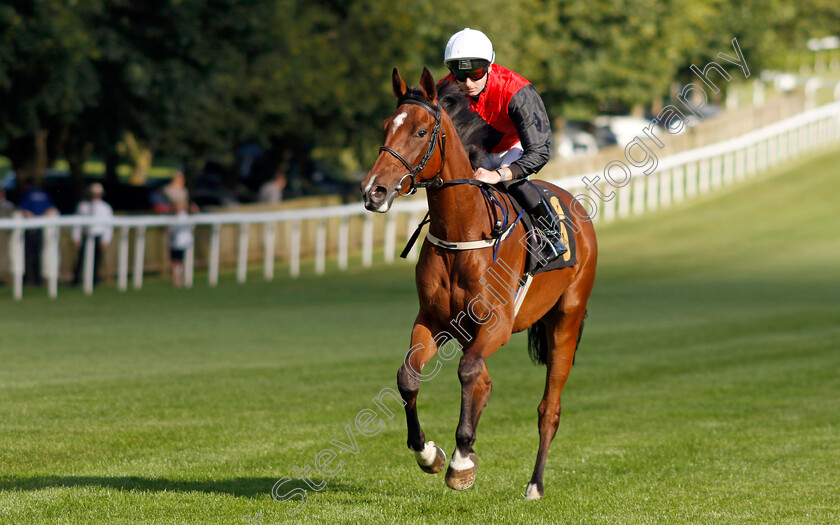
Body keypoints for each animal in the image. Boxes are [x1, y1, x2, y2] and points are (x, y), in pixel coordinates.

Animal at [360, 67, 596, 498]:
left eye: (421, 131)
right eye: (386, 126)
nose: (374, 191)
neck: (463, 230)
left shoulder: (496, 325)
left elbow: (467, 373)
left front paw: (461, 461)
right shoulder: (433, 320)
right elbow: (408, 377)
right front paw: (430, 453)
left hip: (566, 321)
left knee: (548, 408)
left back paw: (535, 484)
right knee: (484, 384)